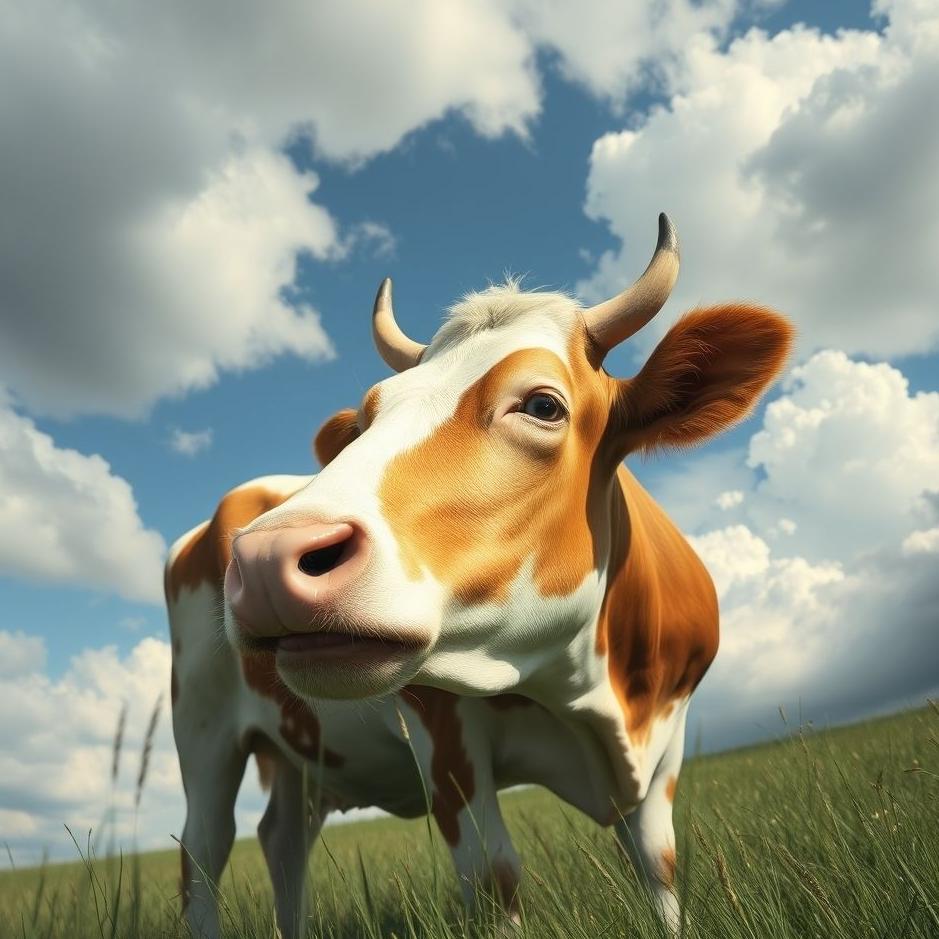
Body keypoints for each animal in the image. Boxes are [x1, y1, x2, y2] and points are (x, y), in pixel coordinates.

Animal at [166, 214, 793, 939]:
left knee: (282, 839)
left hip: (298, 750)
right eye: (365, 419)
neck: (595, 696)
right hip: (203, 729)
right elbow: (495, 876)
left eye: (544, 405)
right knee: (204, 852)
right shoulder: (444, 737)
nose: (266, 559)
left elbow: (659, 865)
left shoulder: (668, 733)